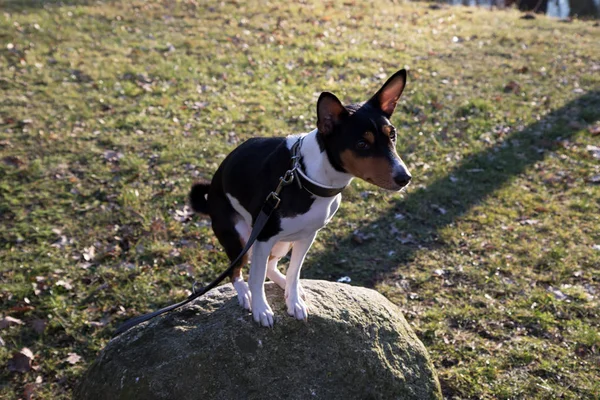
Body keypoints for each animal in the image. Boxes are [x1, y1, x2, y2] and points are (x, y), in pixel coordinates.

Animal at [190, 69, 410, 326]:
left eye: (392, 135)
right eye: (362, 144)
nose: (405, 177)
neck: (306, 178)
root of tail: (210, 195)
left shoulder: (306, 235)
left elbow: (294, 271)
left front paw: (293, 300)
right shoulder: (264, 236)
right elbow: (256, 278)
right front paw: (261, 309)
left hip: (282, 242)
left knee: (270, 266)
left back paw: (283, 285)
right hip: (241, 236)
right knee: (237, 271)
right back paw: (245, 295)